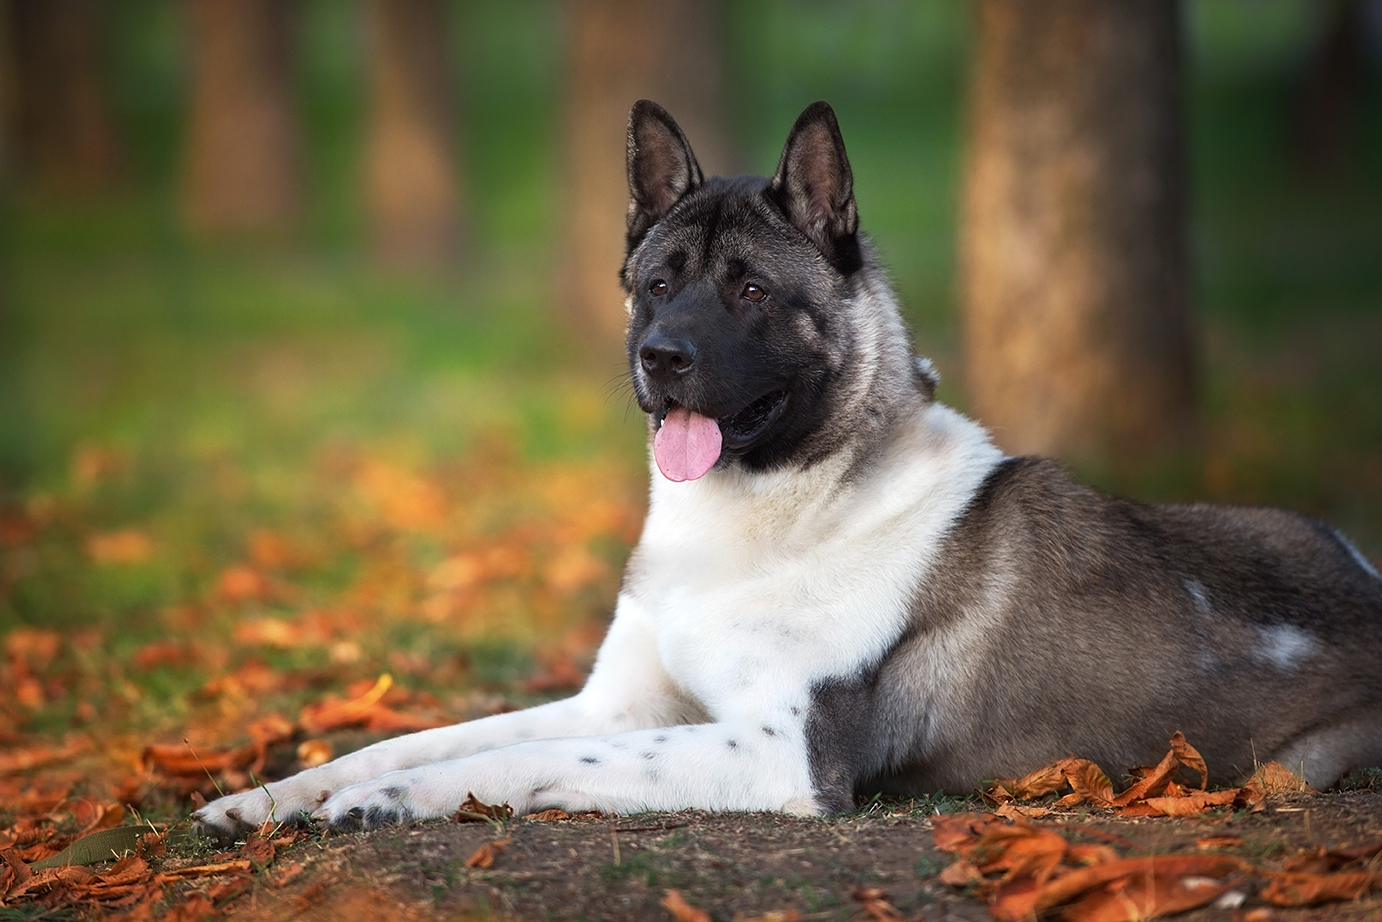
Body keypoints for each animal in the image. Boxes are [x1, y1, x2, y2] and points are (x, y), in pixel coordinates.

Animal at [192, 97, 1382, 840]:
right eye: (654, 283)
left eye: (752, 291)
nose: (660, 358)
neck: (775, 509)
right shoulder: (615, 704)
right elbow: (427, 734)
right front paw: (274, 798)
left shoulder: (777, 753)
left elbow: (494, 761)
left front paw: (390, 801)